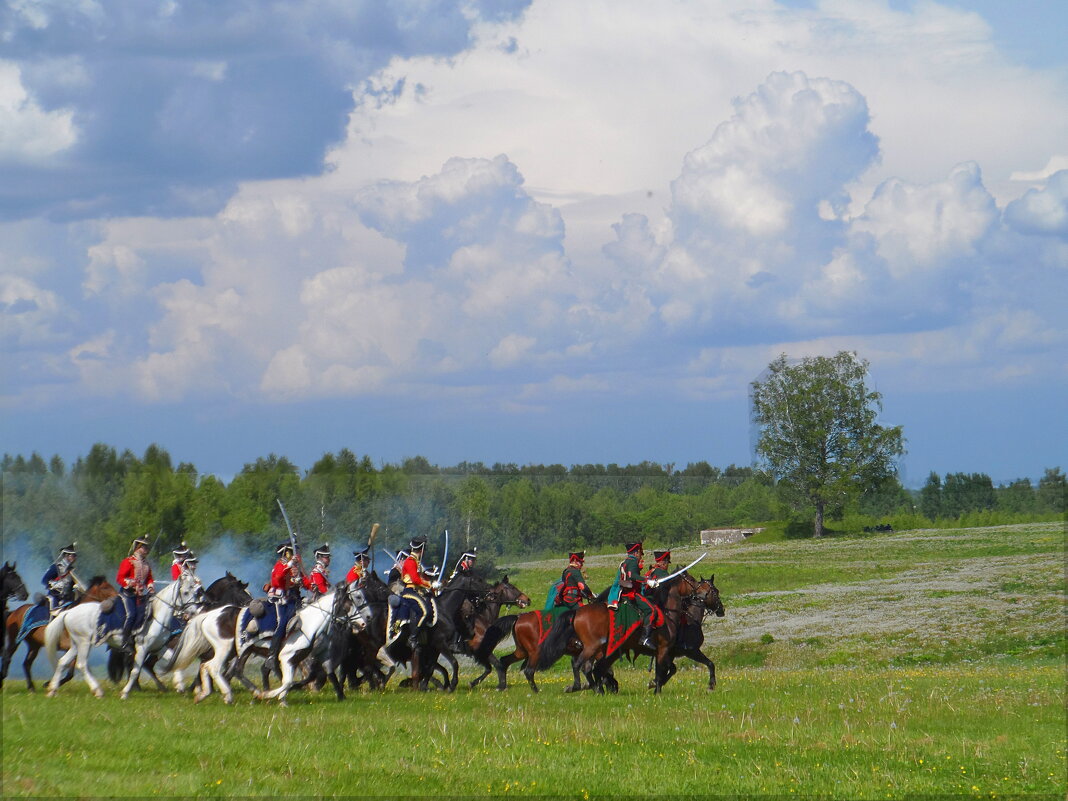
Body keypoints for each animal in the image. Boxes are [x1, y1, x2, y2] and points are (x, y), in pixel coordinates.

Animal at [120, 572, 205, 700]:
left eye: (197, 593)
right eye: (186, 592)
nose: (194, 612)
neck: (156, 618)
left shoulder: (159, 647)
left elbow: (174, 661)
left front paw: (180, 685)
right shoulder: (142, 648)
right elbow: (136, 670)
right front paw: (125, 693)